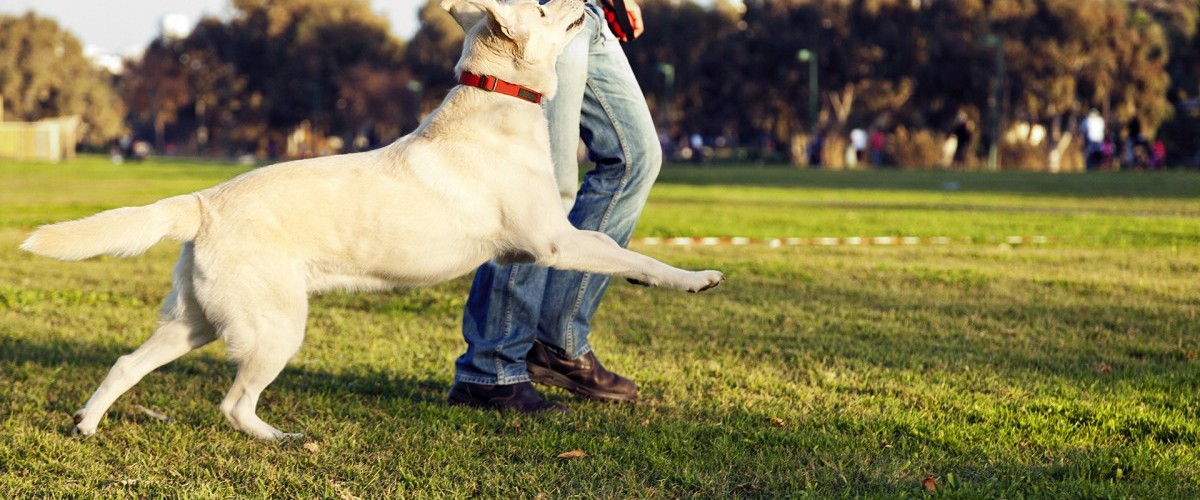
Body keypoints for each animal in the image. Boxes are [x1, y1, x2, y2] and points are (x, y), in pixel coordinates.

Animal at [21, 0, 720, 438]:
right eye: (546, 12)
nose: (590, 4)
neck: (495, 102)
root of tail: (204, 201)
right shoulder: (552, 241)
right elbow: (627, 252)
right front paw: (694, 278)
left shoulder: (543, 244)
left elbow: (613, 252)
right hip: (275, 328)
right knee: (233, 403)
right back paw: (280, 438)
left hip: (195, 322)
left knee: (125, 364)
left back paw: (87, 424)